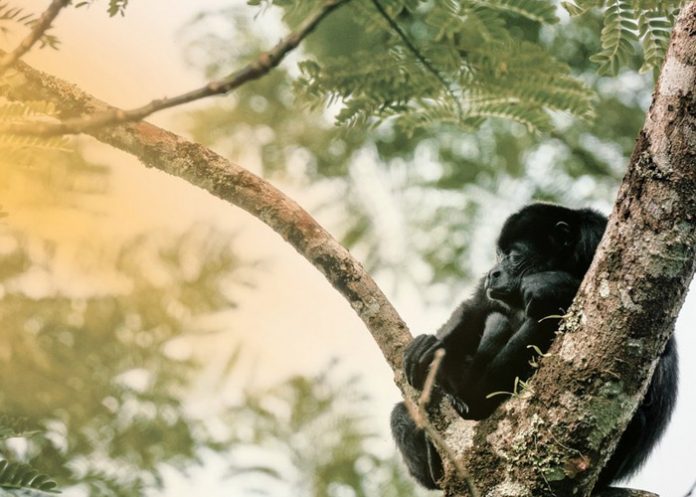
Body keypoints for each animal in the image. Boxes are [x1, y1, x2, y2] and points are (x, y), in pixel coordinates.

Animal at [392, 202, 680, 488]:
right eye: (499, 255)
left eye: (514, 256)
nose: (492, 273)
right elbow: (476, 306)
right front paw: (432, 346)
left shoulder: (599, 239)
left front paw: (551, 284)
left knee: (536, 317)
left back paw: (473, 398)